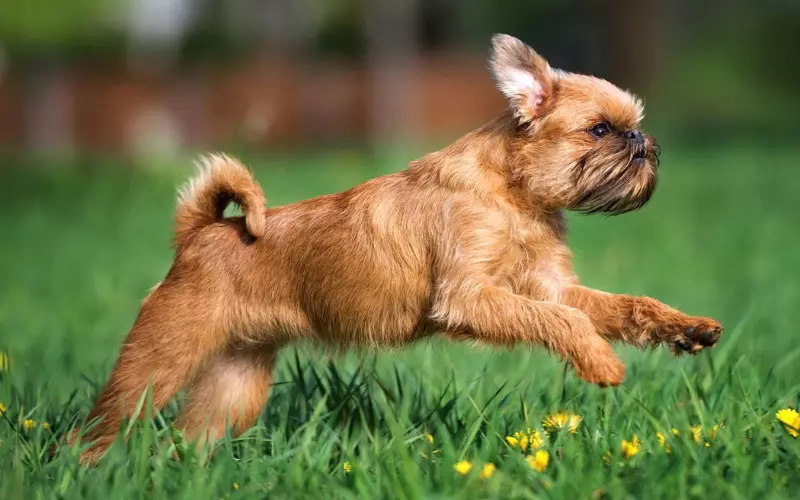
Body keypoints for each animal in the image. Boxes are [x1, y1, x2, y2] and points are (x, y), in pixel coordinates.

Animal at [72, 34, 724, 464]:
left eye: (630, 125)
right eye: (599, 130)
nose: (641, 139)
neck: (514, 197)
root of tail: (200, 233)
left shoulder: (552, 286)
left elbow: (621, 306)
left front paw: (686, 328)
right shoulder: (471, 298)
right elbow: (560, 321)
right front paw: (601, 361)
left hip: (234, 386)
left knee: (186, 439)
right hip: (157, 362)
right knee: (95, 433)